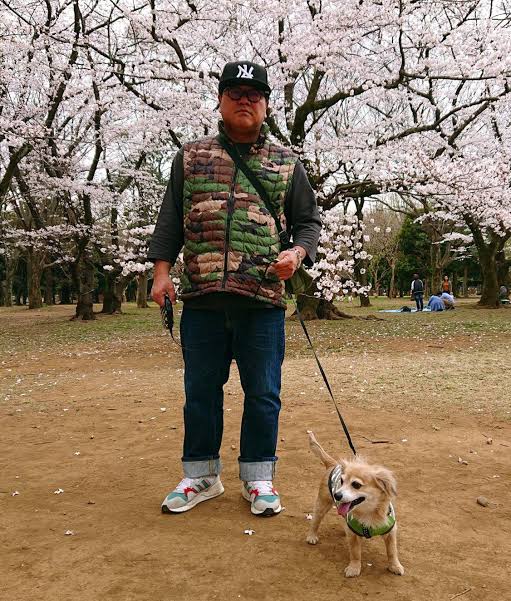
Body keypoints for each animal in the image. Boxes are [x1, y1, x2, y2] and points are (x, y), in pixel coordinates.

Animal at [306, 430, 404, 577]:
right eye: (341, 481)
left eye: (356, 485)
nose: (337, 495)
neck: (369, 512)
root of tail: (333, 464)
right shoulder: (353, 536)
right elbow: (355, 553)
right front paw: (354, 568)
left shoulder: (390, 532)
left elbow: (392, 551)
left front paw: (395, 566)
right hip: (322, 504)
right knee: (315, 521)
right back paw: (312, 536)